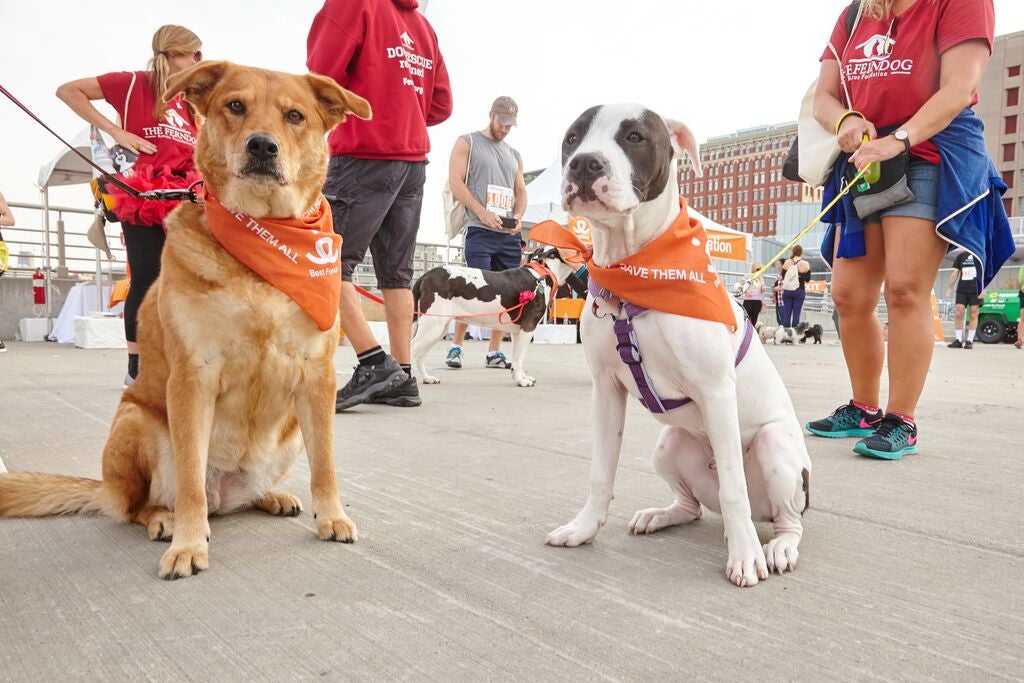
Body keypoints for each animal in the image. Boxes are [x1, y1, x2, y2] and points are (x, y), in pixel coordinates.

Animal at [0, 62, 372, 581]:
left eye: (295, 116)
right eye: (235, 105)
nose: (262, 145)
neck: (264, 236)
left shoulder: (317, 378)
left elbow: (326, 465)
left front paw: (331, 516)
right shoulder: (194, 379)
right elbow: (191, 480)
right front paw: (188, 545)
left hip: (290, 434)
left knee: (245, 496)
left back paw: (271, 496)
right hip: (136, 421)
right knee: (143, 504)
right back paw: (164, 519)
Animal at [411, 249, 581, 389]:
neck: (544, 271)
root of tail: (425, 275)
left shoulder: (517, 332)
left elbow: (517, 358)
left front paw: (520, 376)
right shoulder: (528, 328)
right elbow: (520, 359)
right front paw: (521, 381)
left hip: (438, 328)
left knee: (419, 355)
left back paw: (427, 378)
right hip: (432, 326)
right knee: (412, 349)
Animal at [540, 105, 811, 589]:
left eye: (634, 136)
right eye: (573, 137)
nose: (585, 163)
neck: (633, 269)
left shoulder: (717, 390)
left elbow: (735, 487)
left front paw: (744, 556)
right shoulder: (606, 389)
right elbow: (599, 470)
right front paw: (584, 528)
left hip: (775, 448)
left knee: (783, 518)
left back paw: (776, 546)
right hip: (668, 444)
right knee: (693, 506)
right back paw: (662, 515)